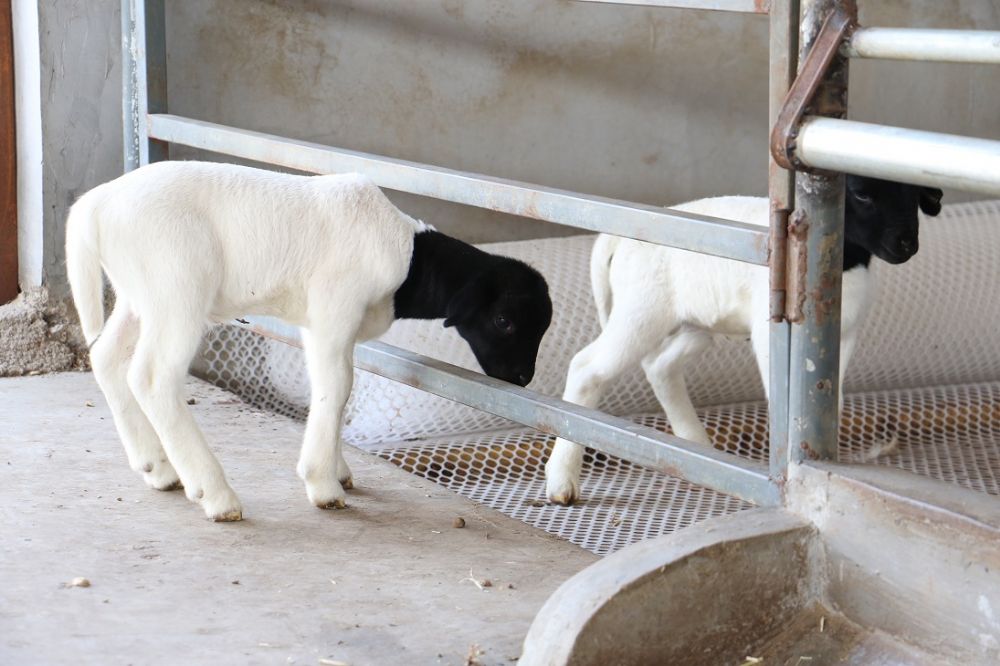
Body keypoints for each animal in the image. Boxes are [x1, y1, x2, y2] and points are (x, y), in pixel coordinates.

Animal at [64, 161, 556, 520]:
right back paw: (215, 494)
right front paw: (323, 484)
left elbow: (334, 387)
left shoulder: (325, 325)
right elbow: (337, 387)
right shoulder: (334, 309)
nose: (522, 377)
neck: (407, 259)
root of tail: (94, 205)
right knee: (153, 378)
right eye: (504, 320)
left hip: (138, 295)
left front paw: (339, 470)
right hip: (177, 289)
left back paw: (157, 467)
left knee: (106, 356)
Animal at [544, 176, 940, 504]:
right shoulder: (770, 333)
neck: (845, 263)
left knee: (660, 366)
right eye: (862, 194)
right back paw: (562, 481)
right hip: (641, 312)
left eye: (914, 195)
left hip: (694, 326)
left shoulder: (847, 334)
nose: (906, 244)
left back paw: (697, 447)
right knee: (587, 369)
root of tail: (618, 238)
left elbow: (834, 400)